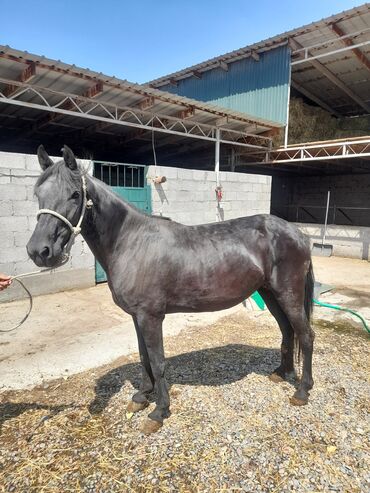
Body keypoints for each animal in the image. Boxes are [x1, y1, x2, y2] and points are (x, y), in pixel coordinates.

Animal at [26, 144, 316, 432]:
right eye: (38, 193)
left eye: (75, 194)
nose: (39, 251)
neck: (130, 242)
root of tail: (298, 234)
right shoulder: (137, 317)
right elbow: (144, 357)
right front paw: (141, 396)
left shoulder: (151, 317)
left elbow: (157, 361)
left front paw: (159, 411)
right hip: (270, 294)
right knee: (287, 330)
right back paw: (283, 374)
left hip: (288, 294)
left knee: (306, 335)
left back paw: (302, 390)